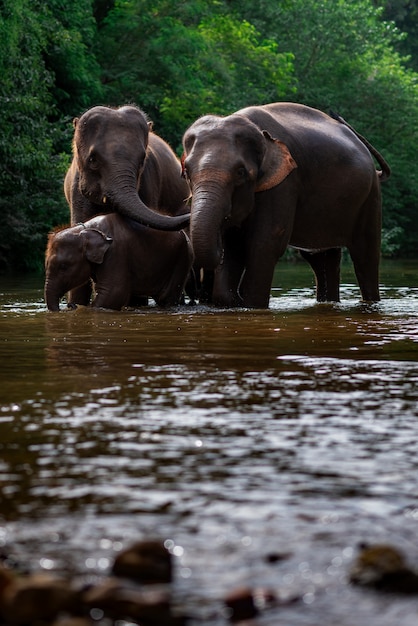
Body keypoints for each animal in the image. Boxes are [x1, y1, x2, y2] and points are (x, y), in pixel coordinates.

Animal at [44, 213, 194, 310]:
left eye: (64, 266)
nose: (70, 306)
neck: (84, 230)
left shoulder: (116, 253)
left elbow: (114, 293)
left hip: (182, 258)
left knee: (166, 297)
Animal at [181, 102, 390, 308]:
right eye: (186, 172)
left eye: (240, 172)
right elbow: (232, 246)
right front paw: (233, 301)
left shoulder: (285, 183)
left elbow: (265, 243)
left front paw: (249, 304)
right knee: (322, 259)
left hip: (371, 198)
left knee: (365, 257)